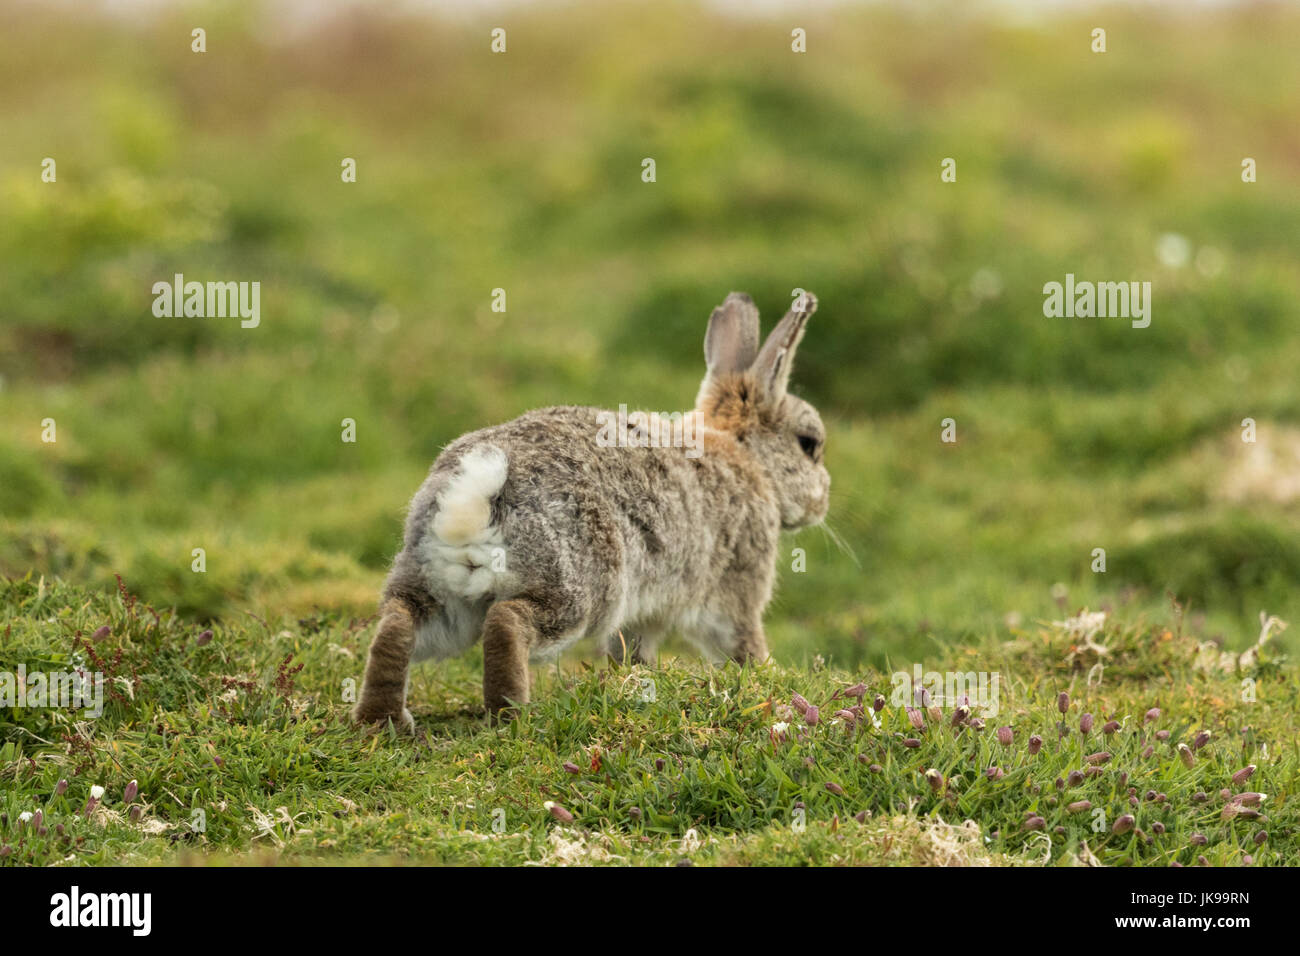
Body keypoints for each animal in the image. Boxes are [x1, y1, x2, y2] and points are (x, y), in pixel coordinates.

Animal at [352, 291, 829, 733]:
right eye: (810, 444)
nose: (823, 499)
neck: (747, 458)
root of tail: (475, 494)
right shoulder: (736, 594)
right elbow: (740, 642)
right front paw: (765, 671)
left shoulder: (645, 614)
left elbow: (633, 651)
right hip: (575, 588)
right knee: (509, 622)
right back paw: (513, 713)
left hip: (439, 594)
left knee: (397, 625)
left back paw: (384, 720)